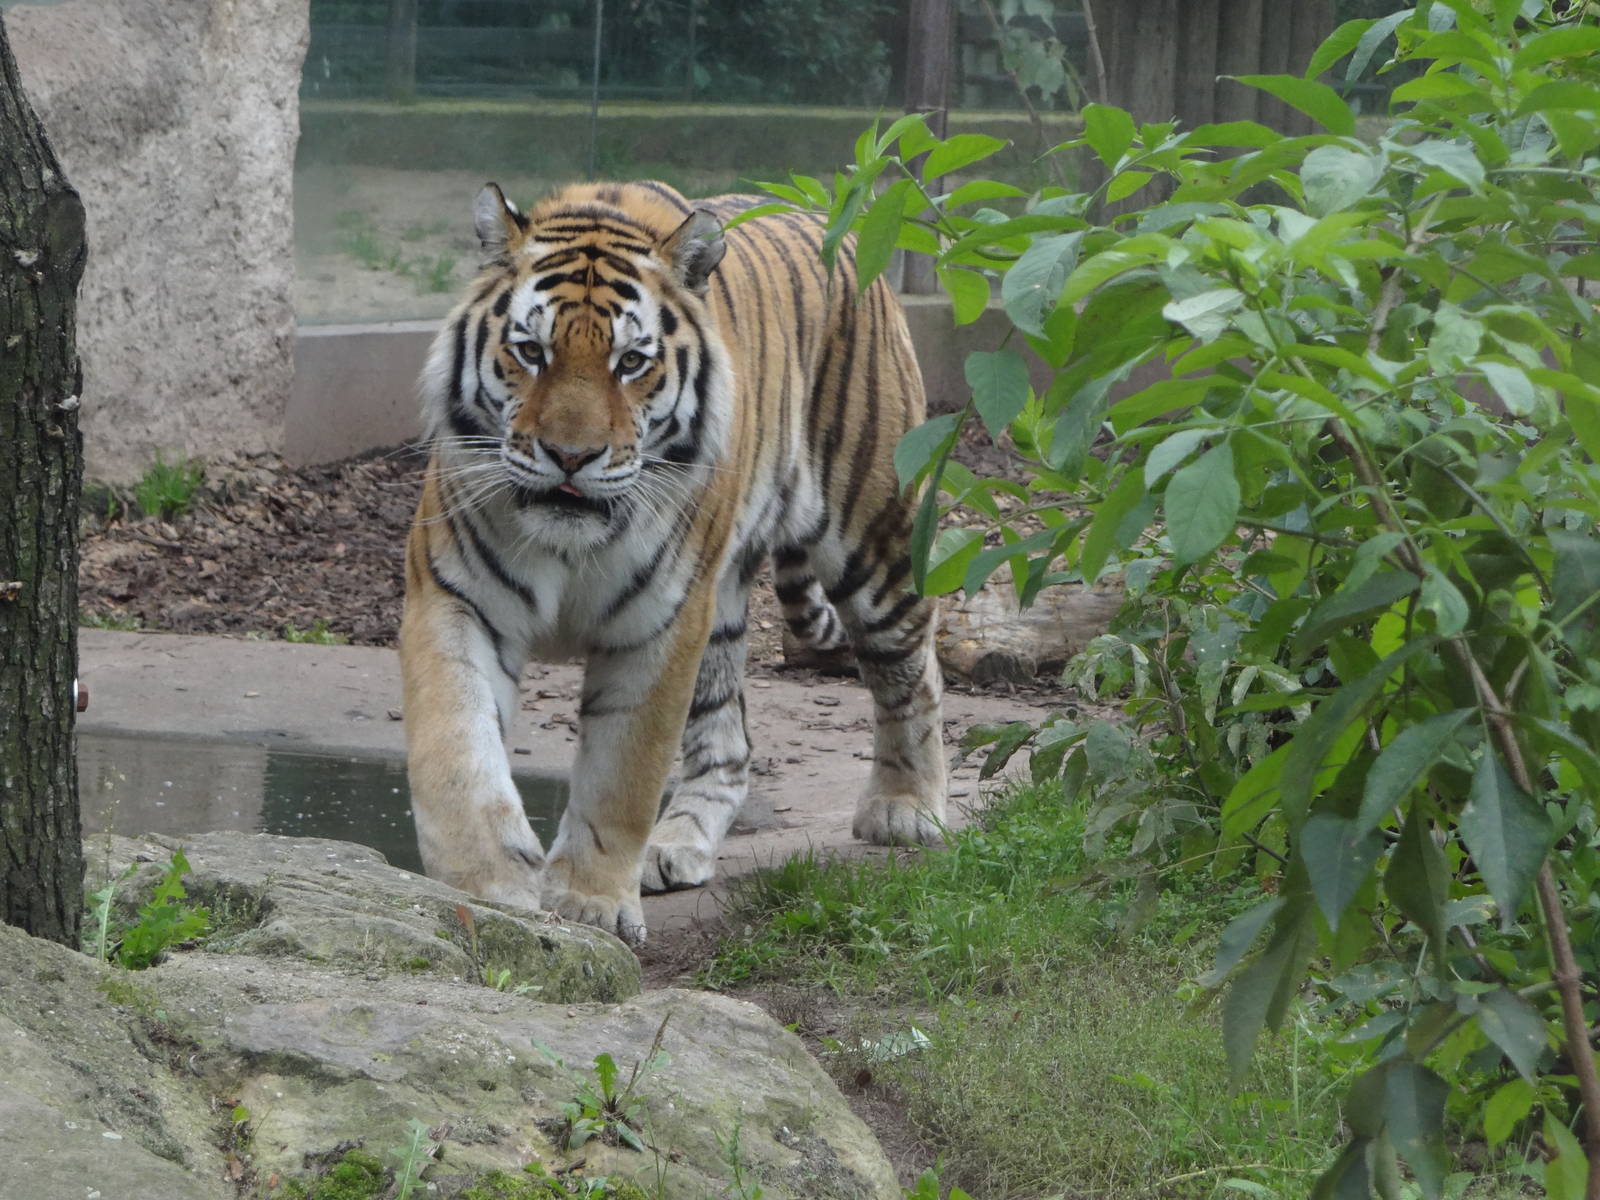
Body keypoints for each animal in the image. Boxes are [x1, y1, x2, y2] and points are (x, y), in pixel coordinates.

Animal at [399, 179, 947, 946]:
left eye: (631, 362)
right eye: (531, 351)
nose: (570, 456)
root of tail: (825, 210)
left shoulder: (657, 625)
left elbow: (622, 772)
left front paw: (590, 903)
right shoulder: (455, 598)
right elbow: (456, 751)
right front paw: (489, 889)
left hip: (875, 537)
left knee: (911, 670)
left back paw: (908, 808)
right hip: (720, 611)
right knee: (729, 742)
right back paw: (677, 843)